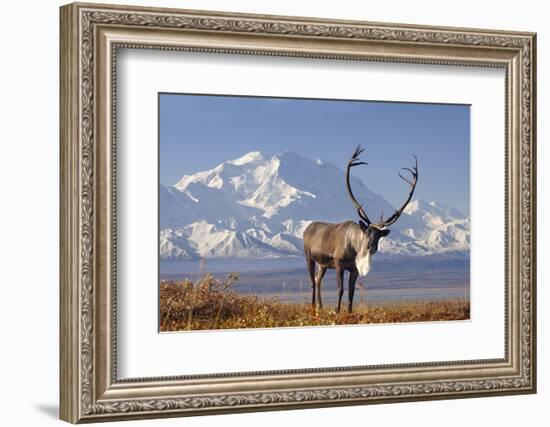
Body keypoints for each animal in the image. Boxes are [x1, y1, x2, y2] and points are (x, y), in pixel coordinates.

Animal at [304, 147, 420, 314]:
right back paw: (314, 308)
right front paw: (337, 311)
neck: (354, 250)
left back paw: (320, 307)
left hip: (323, 264)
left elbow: (352, 292)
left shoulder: (354, 270)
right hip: (309, 257)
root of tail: (307, 228)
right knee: (312, 282)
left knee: (318, 280)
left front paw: (349, 312)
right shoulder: (338, 264)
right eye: (367, 232)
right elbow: (340, 289)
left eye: (380, 235)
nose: (372, 247)